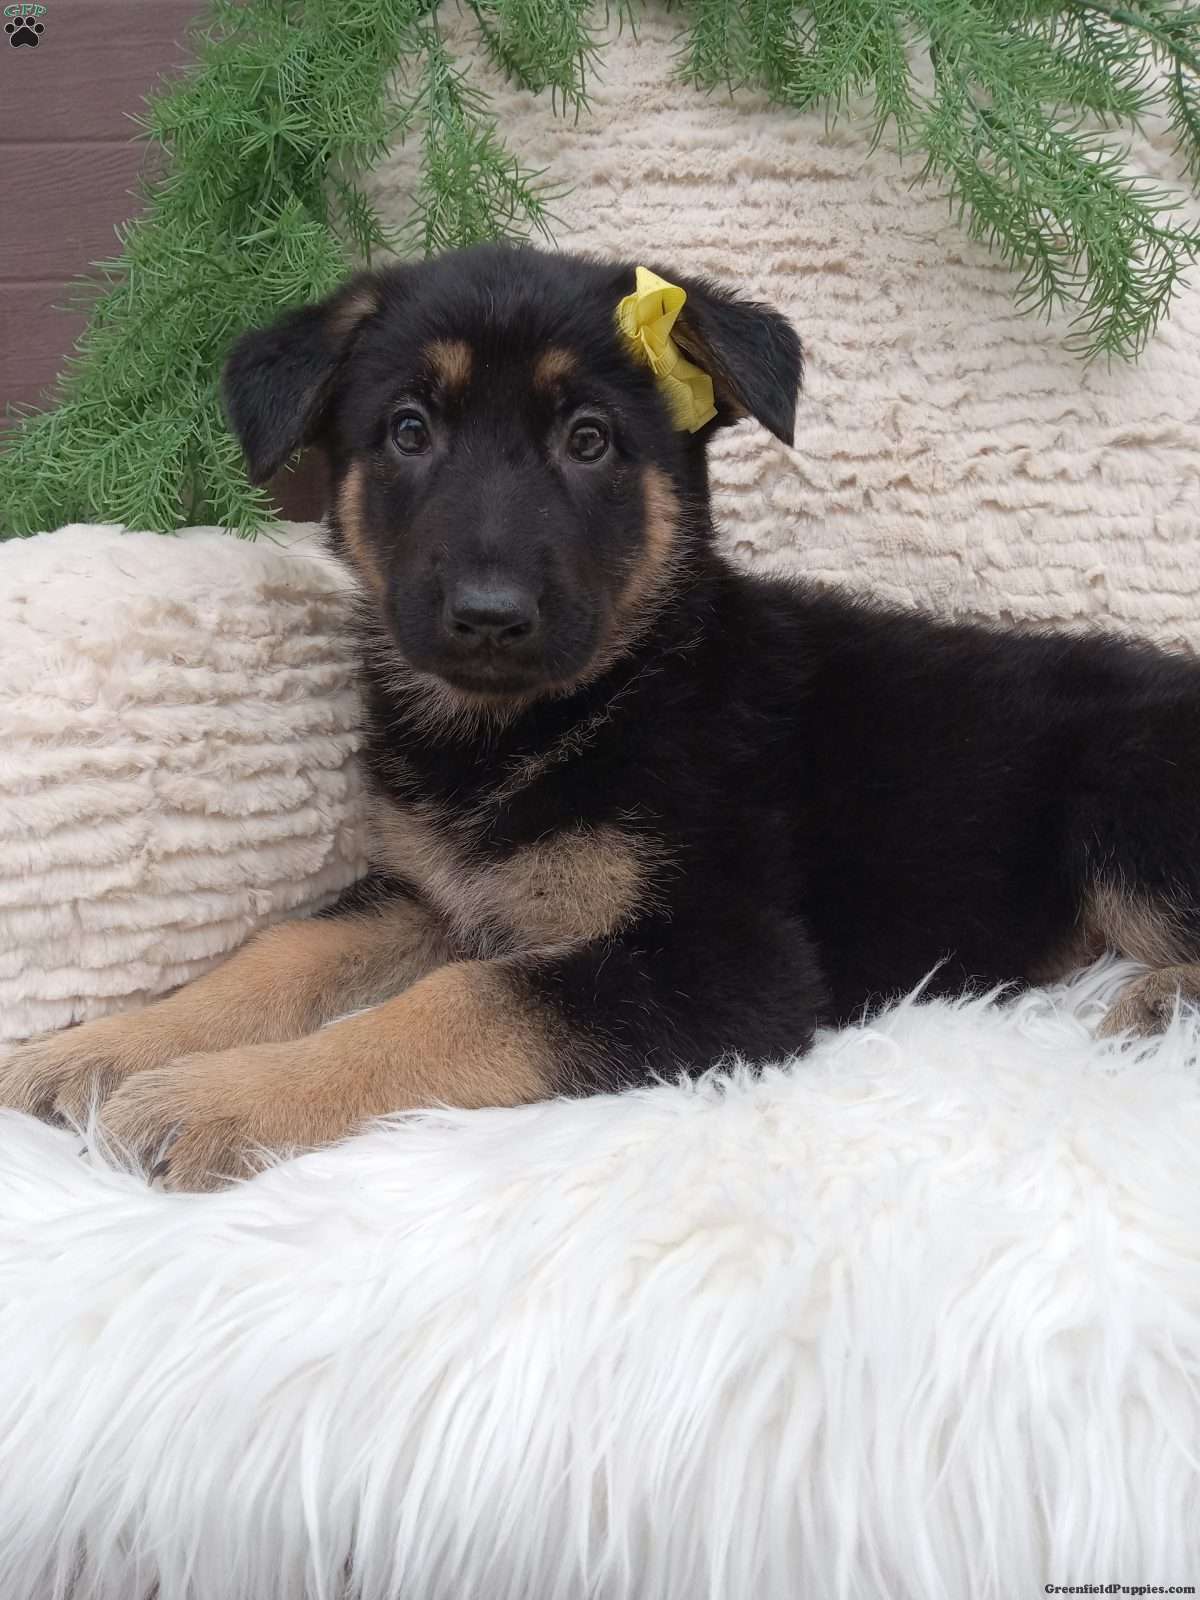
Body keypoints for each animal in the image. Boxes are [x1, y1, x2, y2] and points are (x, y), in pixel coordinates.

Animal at [3, 243, 1198, 1190]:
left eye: (589, 441)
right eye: (407, 430)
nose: (489, 616)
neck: (551, 719)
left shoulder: (728, 963)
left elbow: (461, 1005)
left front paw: (218, 1097)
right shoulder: (439, 892)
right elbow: (283, 949)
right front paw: (107, 1046)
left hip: (1128, 797)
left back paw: (1160, 1006)